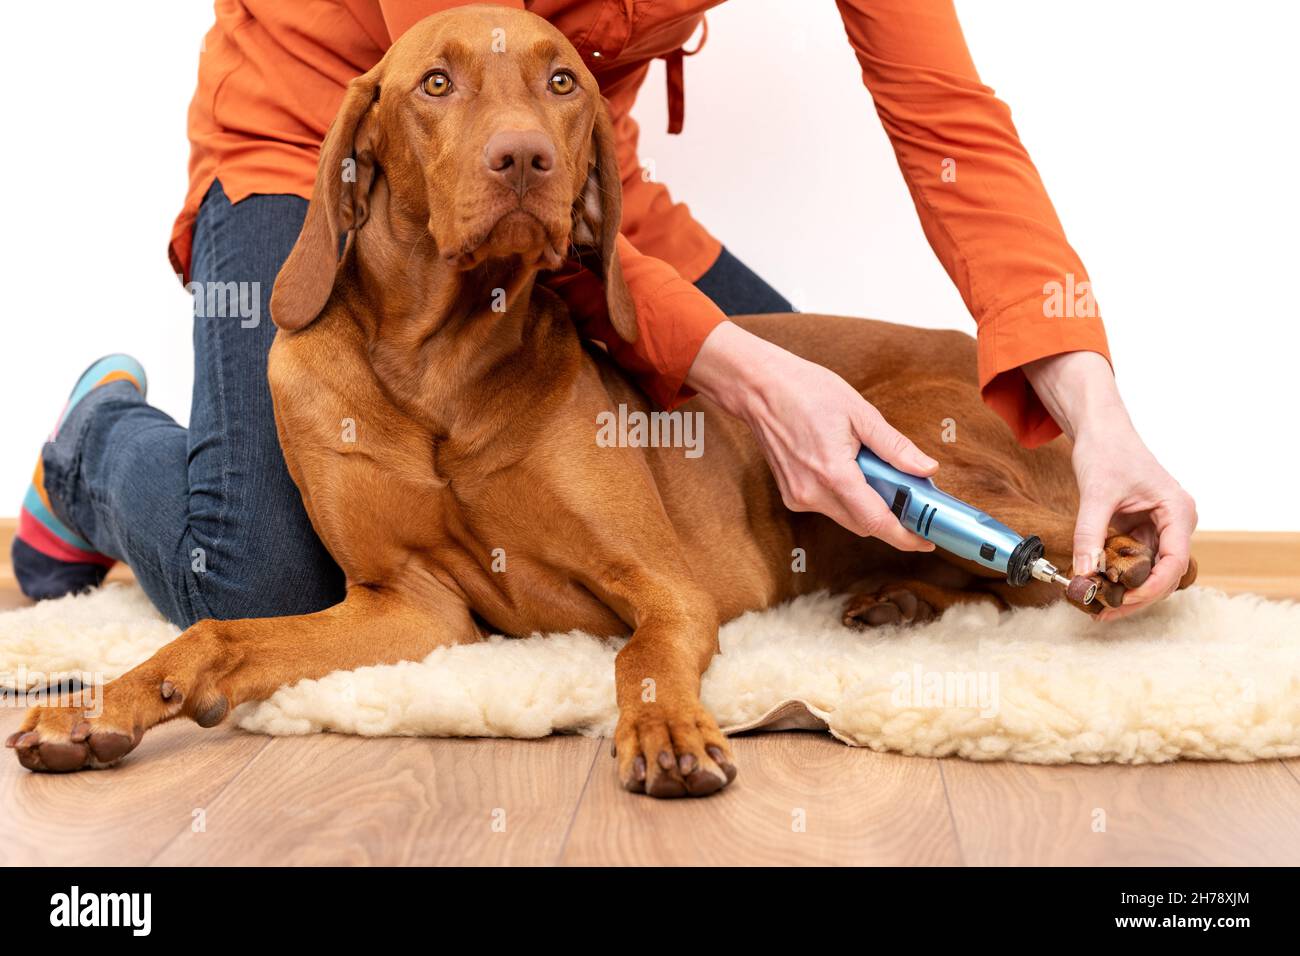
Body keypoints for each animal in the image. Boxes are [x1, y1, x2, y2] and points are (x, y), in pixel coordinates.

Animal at [5, 7, 1190, 796]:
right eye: (435, 84)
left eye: (563, 82)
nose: (525, 158)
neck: (439, 365)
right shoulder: (411, 609)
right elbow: (221, 634)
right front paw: (97, 706)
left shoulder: (663, 585)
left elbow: (639, 656)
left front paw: (665, 734)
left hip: (922, 443)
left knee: (1077, 550)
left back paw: (1109, 554)